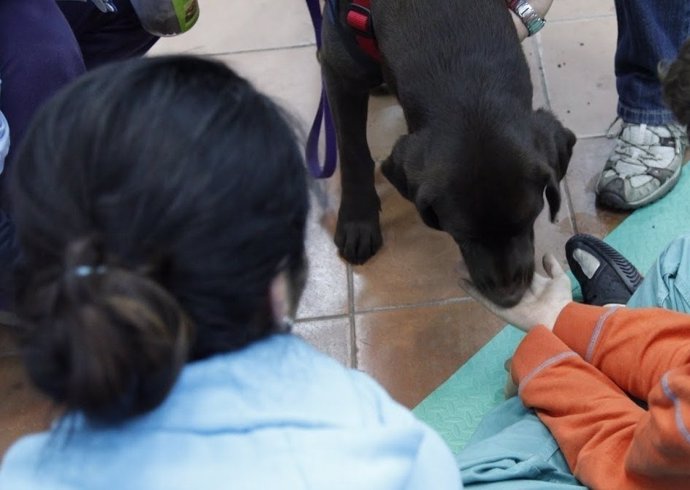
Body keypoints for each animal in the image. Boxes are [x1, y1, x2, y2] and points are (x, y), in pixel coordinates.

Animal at [318, 0, 576, 306]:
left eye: (529, 220)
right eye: (461, 235)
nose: (509, 299)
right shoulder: (339, 70)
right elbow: (352, 151)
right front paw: (358, 220)